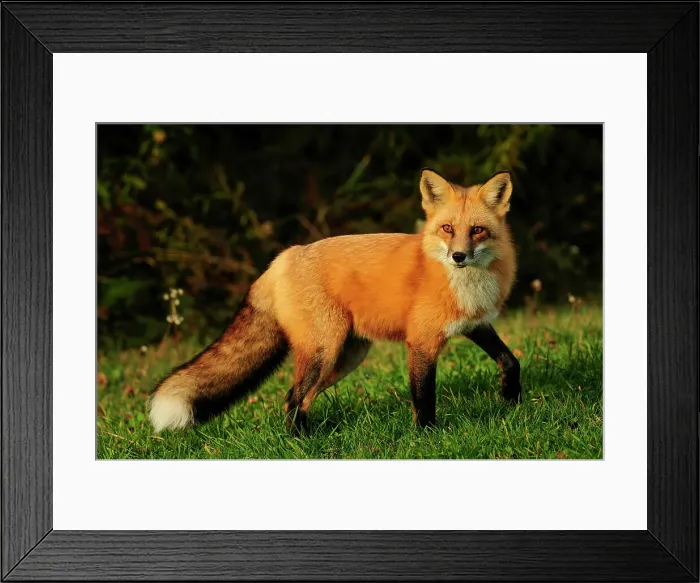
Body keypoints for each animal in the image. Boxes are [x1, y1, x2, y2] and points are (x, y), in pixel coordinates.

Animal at [149, 169, 522, 434]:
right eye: (447, 228)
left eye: (477, 230)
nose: (459, 256)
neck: (466, 283)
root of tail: (283, 258)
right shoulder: (422, 341)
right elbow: (424, 397)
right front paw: (427, 437)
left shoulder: (475, 324)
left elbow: (510, 361)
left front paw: (513, 401)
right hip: (323, 352)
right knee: (294, 398)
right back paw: (300, 444)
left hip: (345, 358)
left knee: (297, 400)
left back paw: (308, 438)